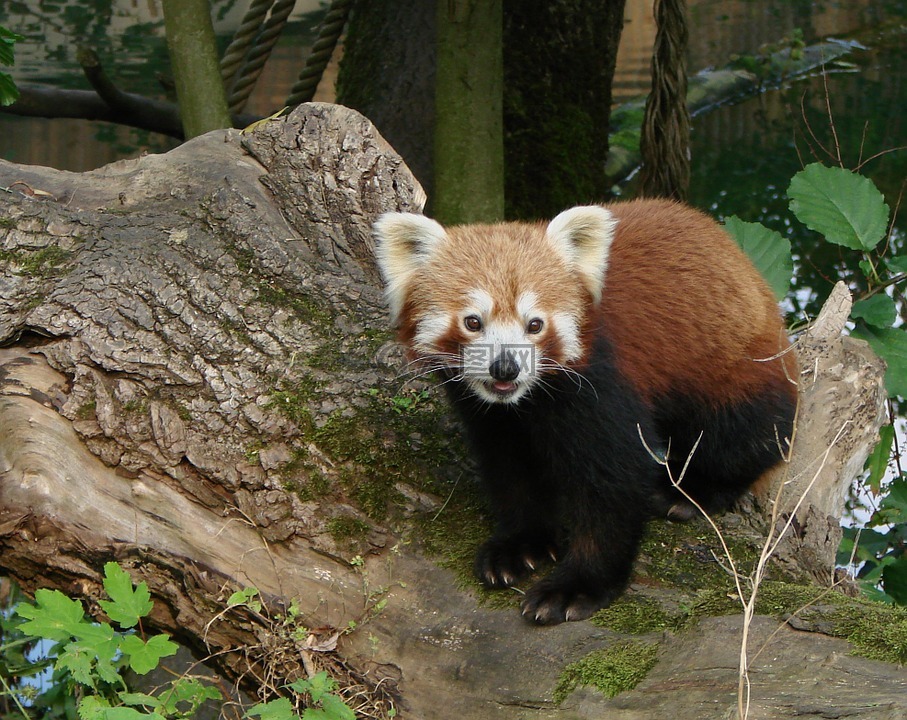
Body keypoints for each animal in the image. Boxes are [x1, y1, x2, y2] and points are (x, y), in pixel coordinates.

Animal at [372, 198, 800, 624]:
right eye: (473, 322)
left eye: (535, 324)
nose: (505, 368)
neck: (528, 400)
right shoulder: (493, 417)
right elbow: (511, 470)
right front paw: (519, 545)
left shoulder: (602, 384)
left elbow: (612, 483)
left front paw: (577, 586)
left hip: (735, 365)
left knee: (745, 432)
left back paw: (693, 488)